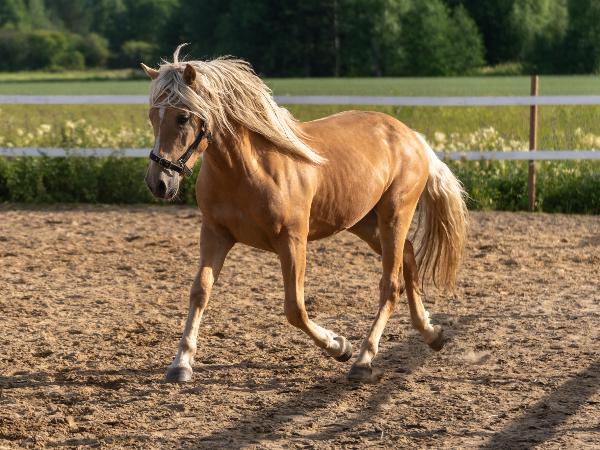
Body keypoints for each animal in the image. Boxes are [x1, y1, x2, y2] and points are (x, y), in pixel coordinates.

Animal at [141, 45, 468, 383]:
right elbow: (200, 292)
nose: (159, 183)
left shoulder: (292, 240)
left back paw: (363, 359)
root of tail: (412, 136)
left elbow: (295, 308)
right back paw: (432, 333)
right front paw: (181, 363)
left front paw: (339, 346)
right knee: (409, 256)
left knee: (390, 285)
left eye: (182, 117)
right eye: (152, 116)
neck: (247, 170)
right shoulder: (215, 233)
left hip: (395, 215)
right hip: (363, 223)